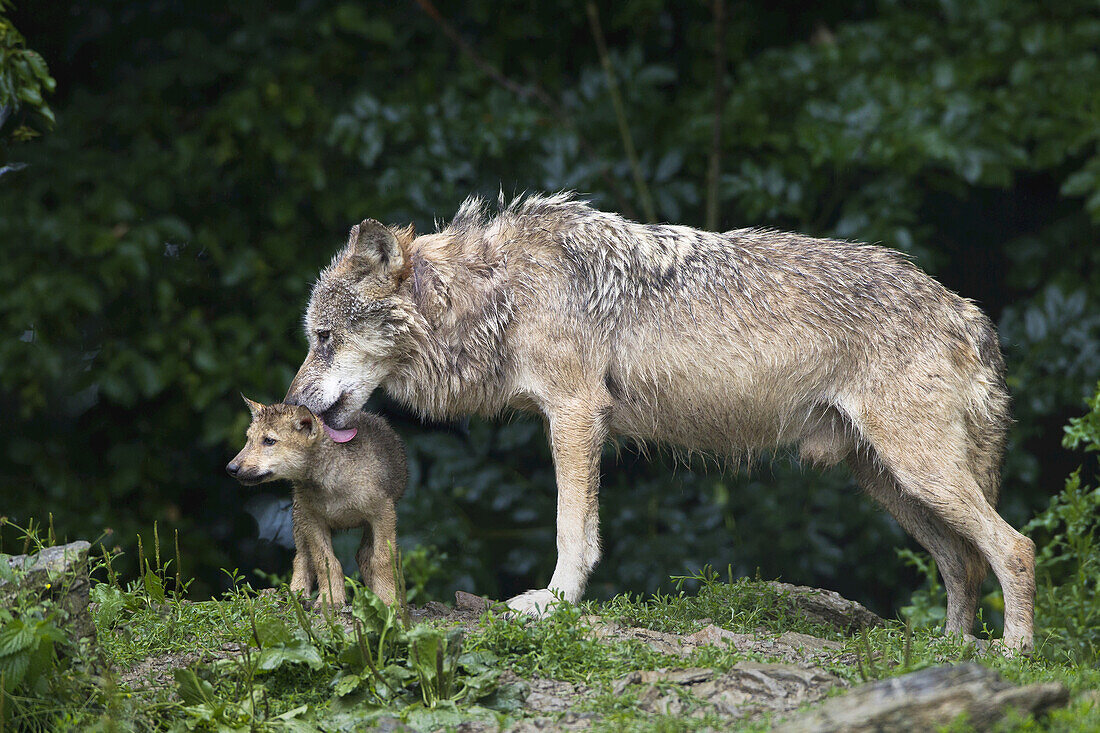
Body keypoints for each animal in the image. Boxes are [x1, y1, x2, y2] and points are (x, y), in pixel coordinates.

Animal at [288, 191, 1034, 647]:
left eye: (322, 337)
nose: (293, 409)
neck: (497, 292)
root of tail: (968, 311)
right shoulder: (572, 420)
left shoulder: (575, 415)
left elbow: (572, 531)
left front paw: (554, 602)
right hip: (891, 483)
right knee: (964, 564)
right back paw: (949, 651)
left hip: (918, 471)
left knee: (1014, 548)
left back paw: (1012, 656)